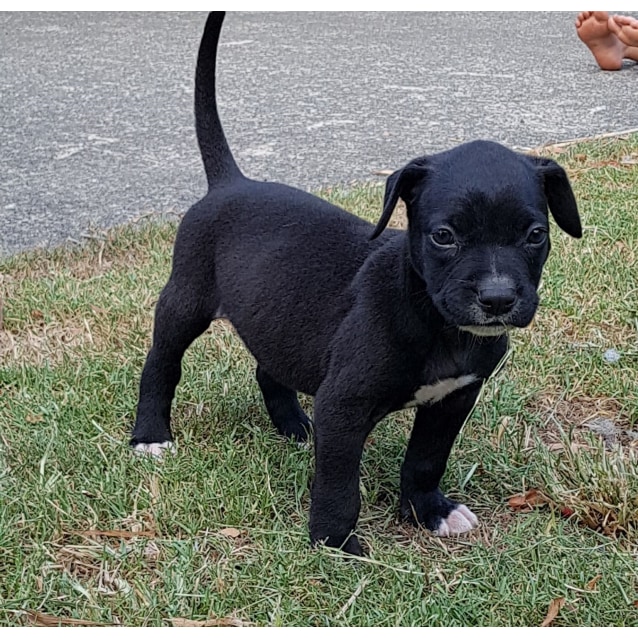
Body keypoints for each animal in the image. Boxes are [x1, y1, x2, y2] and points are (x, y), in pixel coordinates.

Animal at [132, 12, 584, 556]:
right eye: (444, 236)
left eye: (536, 235)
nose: (497, 299)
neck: (431, 317)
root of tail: (230, 183)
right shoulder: (344, 407)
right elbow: (338, 481)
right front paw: (334, 541)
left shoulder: (454, 399)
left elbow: (426, 459)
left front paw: (428, 511)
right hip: (185, 300)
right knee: (161, 364)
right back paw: (150, 434)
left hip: (277, 316)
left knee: (269, 367)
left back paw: (293, 426)